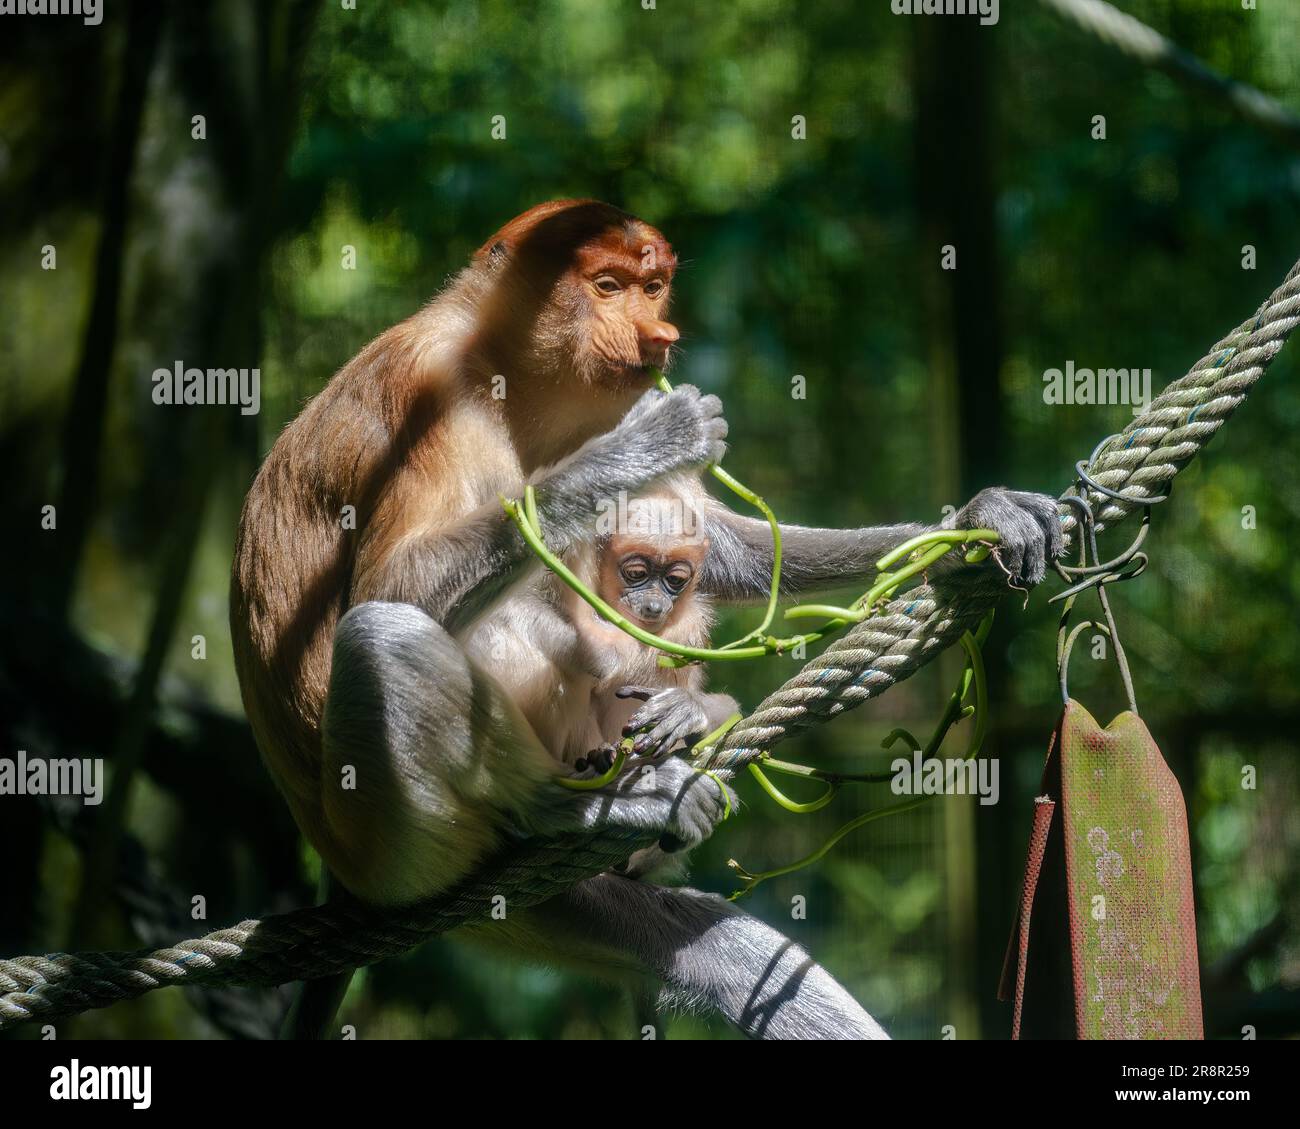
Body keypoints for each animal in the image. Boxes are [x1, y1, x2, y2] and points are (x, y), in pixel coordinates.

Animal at [230, 199, 1062, 1038]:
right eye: (606, 286)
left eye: (654, 286)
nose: (658, 336)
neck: (502, 366)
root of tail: (346, 873)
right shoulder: (435, 394)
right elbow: (393, 585)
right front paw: (650, 439)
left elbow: (715, 543)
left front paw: (975, 526)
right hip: (404, 843)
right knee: (386, 634)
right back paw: (586, 804)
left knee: (723, 945)